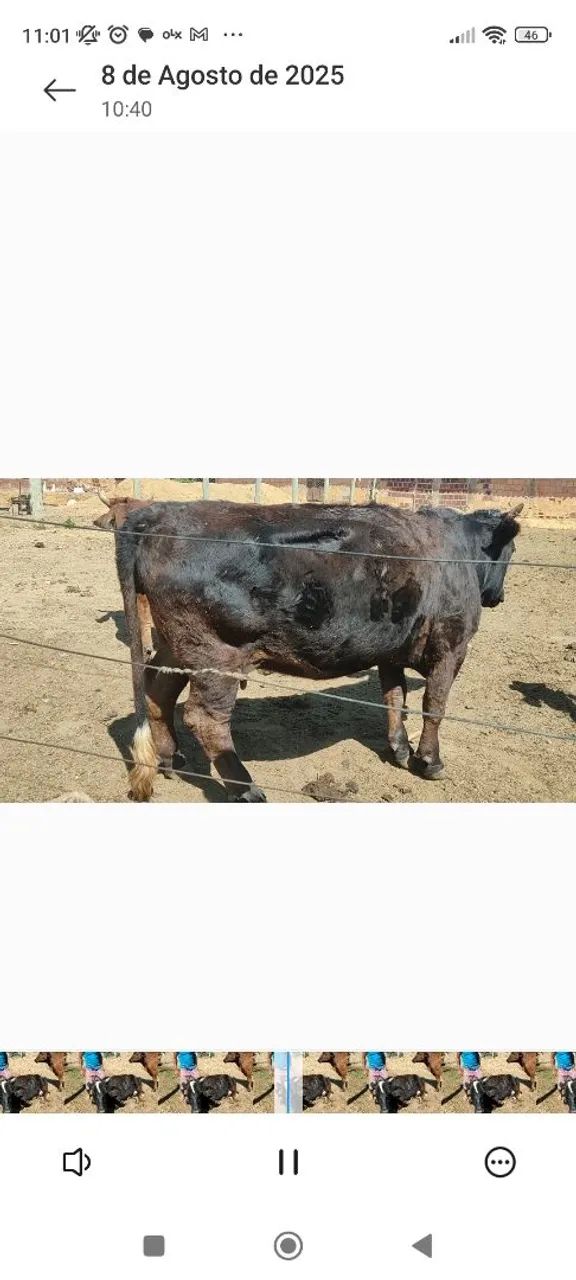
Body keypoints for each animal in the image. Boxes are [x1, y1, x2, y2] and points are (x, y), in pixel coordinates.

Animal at [114, 499, 523, 801]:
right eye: (511, 550)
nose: (499, 597)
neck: (459, 554)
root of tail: (157, 515)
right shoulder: (451, 647)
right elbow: (434, 707)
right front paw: (430, 761)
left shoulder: (390, 650)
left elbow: (395, 697)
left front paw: (399, 749)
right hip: (216, 653)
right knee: (204, 717)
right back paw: (246, 788)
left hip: (176, 644)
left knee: (158, 690)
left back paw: (171, 758)